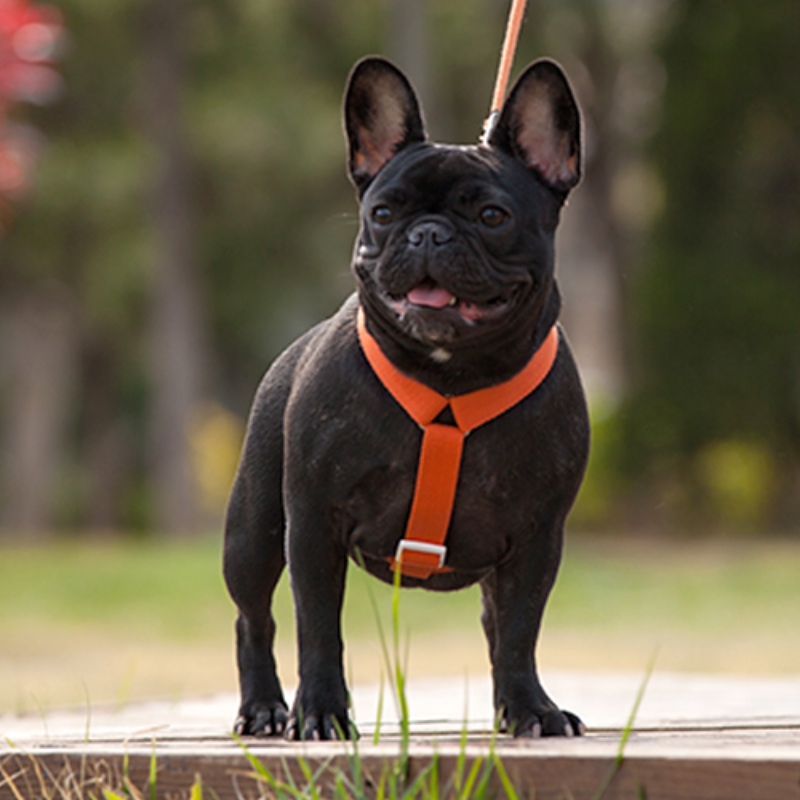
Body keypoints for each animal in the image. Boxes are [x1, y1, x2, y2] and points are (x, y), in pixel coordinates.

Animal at [222, 56, 592, 740]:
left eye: (492, 217)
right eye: (385, 213)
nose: (427, 234)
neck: (450, 378)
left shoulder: (537, 538)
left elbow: (520, 631)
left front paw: (530, 709)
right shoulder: (312, 523)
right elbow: (319, 628)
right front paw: (320, 712)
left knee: (495, 624)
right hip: (253, 534)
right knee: (253, 618)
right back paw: (263, 708)